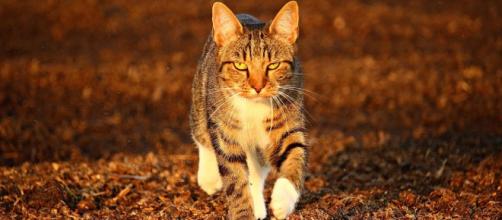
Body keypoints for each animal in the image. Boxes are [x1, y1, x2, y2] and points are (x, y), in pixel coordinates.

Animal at [190, 1, 308, 218]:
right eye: (240, 65)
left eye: (273, 65)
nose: (258, 86)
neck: (254, 106)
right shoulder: (225, 133)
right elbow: (235, 179)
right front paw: (243, 213)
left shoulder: (287, 120)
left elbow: (294, 154)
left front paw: (282, 200)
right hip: (201, 96)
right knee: (201, 134)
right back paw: (209, 177)